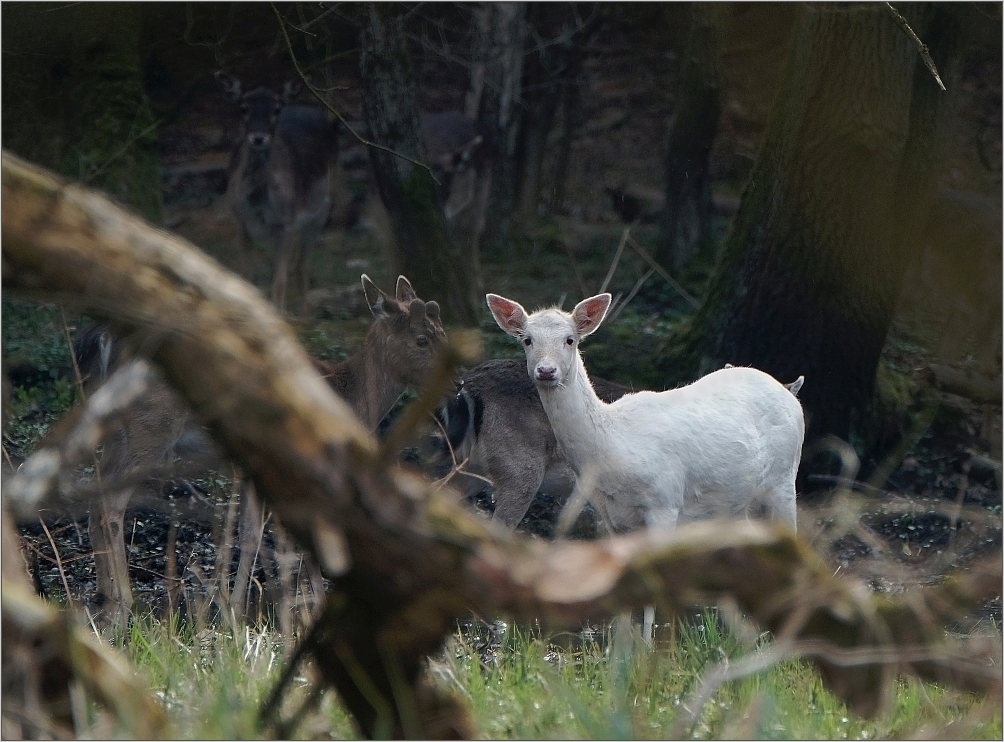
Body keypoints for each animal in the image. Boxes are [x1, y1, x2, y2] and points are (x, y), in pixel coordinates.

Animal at [215, 70, 337, 313]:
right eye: (243, 107)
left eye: (276, 109)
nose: (258, 137)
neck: (257, 202)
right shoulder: (239, 221)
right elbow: (245, 275)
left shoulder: (287, 224)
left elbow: (279, 280)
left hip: (321, 212)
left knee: (301, 265)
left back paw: (304, 311)